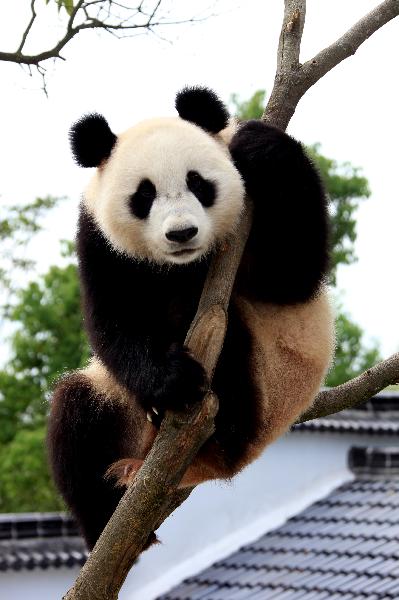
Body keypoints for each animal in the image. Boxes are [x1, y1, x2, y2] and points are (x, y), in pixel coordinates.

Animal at [47, 86, 334, 552]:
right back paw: (110, 515)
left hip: (267, 391)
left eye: (198, 183)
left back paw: (215, 433)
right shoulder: (100, 241)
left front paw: (262, 145)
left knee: (225, 334)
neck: (181, 266)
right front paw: (172, 380)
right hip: (118, 405)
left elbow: (292, 275)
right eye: (143, 196)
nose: (181, 233)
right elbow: (114, 322)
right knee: (76, 414)